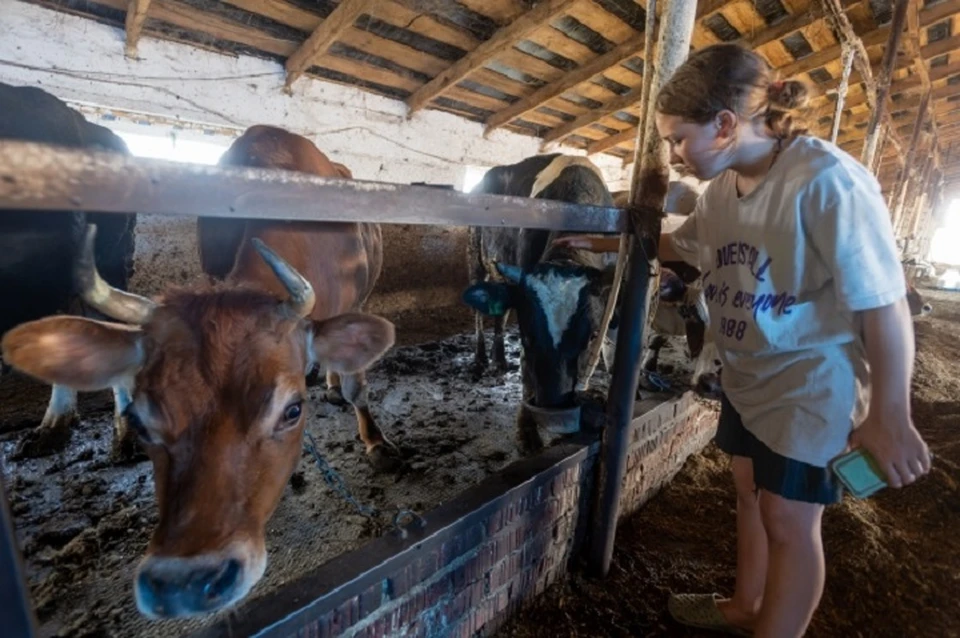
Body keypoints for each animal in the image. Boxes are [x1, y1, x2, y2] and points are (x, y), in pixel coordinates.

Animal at [0, 125, 396, 620]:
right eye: (138, 420)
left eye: (292, 411)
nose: (182, 585)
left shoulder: (354, 306)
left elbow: (358, 385)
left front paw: (376, 442)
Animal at [464, 154, 616, 452]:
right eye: (526, 336)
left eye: (591, 337)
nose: (553, 407)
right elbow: (526, 370)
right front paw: (527, 433)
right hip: (475, 255)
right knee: (478, 310)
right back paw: (481, 358)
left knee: (499, 315)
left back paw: (499, 360)